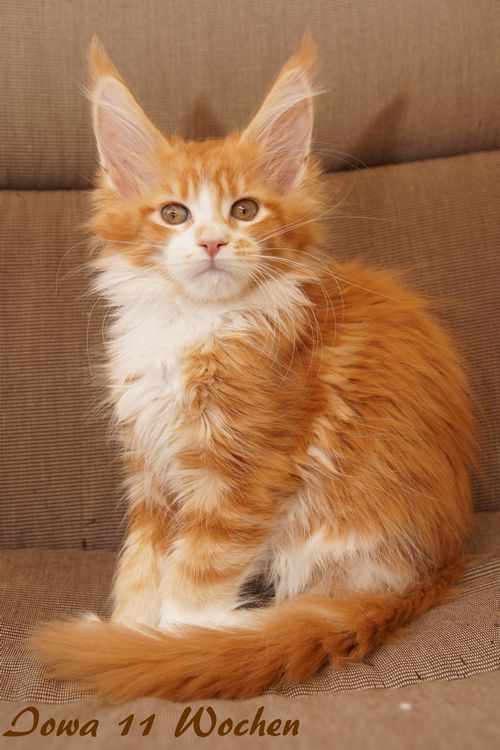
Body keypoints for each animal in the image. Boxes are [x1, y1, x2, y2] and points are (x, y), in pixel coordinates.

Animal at [31, 35, 472, 704]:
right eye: (175, 214)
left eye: (244, 210)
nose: (213, 242)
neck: (194, 326)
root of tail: (436, 565)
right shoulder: (150, 466)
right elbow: (141, 565)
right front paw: (131, 630)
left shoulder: (247, 470)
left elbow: (194, 576)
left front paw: (172, 646)